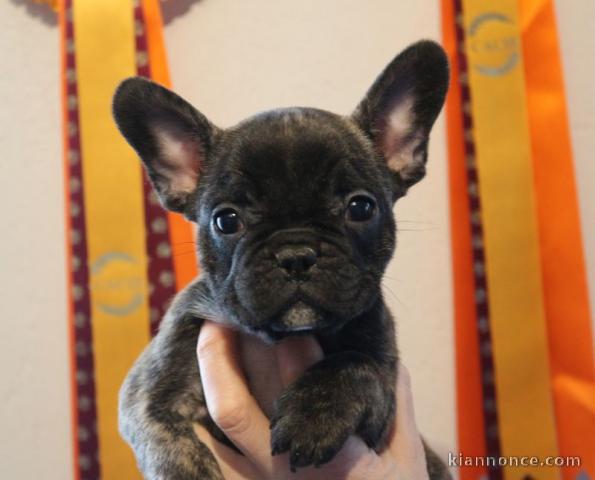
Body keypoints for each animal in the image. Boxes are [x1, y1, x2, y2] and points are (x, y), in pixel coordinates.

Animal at [113, 39, 448, 478]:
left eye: (360, 207)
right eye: (226, 220)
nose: (296, 255)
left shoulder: (383, 386)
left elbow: (358, 363)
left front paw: (315, 412)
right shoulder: (150, 391)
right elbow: (169, 444)